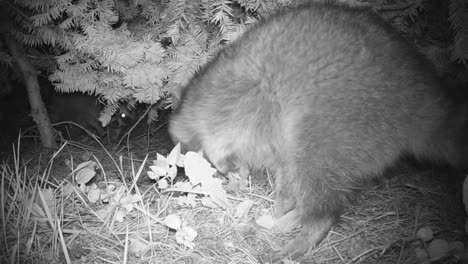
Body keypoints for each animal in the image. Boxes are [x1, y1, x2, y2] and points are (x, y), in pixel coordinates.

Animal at [168, 2, 468, 262]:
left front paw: (225, 163)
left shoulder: (244, 97)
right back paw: (285, 216)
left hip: (339, 115)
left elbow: (225, 135)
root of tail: (421, 98)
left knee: (312, 172)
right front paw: (268, 196)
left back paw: (306, 228)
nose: (231, 178)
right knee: (297, 174)